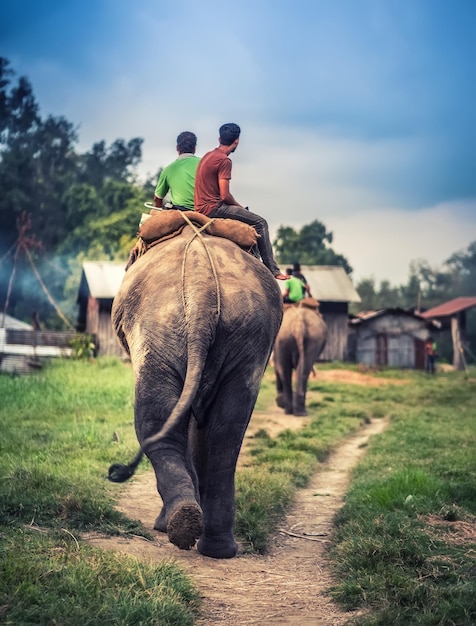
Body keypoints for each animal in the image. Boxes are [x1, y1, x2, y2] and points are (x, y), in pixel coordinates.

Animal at [108, 222, 282, 560]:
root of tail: (202, 292)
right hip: (247, 338)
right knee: (226, 431)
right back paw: (214, 546)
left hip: (157, 330)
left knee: (154, 423)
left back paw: (180, 525)